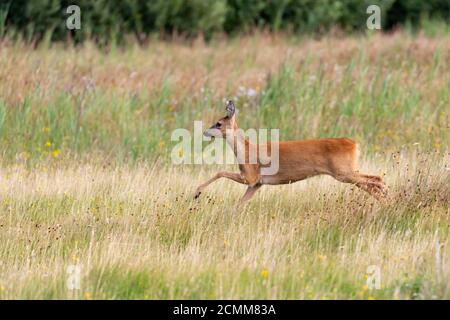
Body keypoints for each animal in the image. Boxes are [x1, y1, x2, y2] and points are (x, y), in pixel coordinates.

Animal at [193, 100, 386, 206]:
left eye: (218, 123)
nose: (205, 132)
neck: (246, 150)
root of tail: (354, 144)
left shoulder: (250, 177)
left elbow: (220, 172)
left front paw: (197, 192)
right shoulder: (256, 184)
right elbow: (238, 205)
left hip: (343, 172)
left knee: (377, 180)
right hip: (348, 172)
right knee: (373, 182)